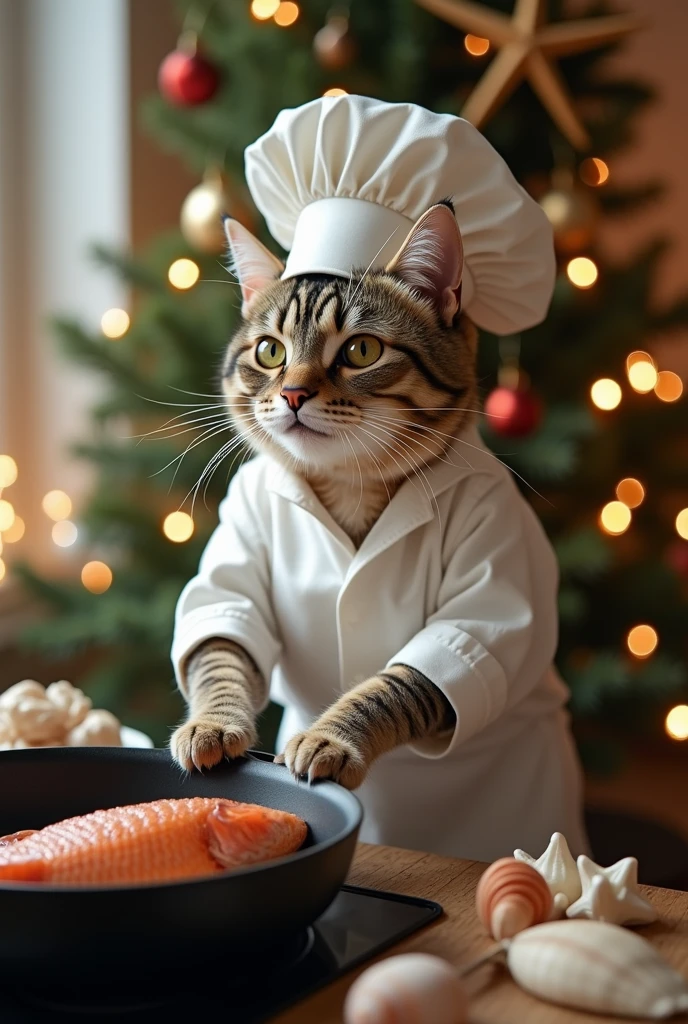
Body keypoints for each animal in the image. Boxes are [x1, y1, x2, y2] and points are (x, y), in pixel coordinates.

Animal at [170, 203, 481, 786]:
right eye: (270, 351)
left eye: (362, 349)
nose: (293, 393)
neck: (349, 484)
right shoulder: (233, 573)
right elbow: (220, 654)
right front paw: (213, 723)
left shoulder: (478, 598)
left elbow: (393, 686)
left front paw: (329, 737)